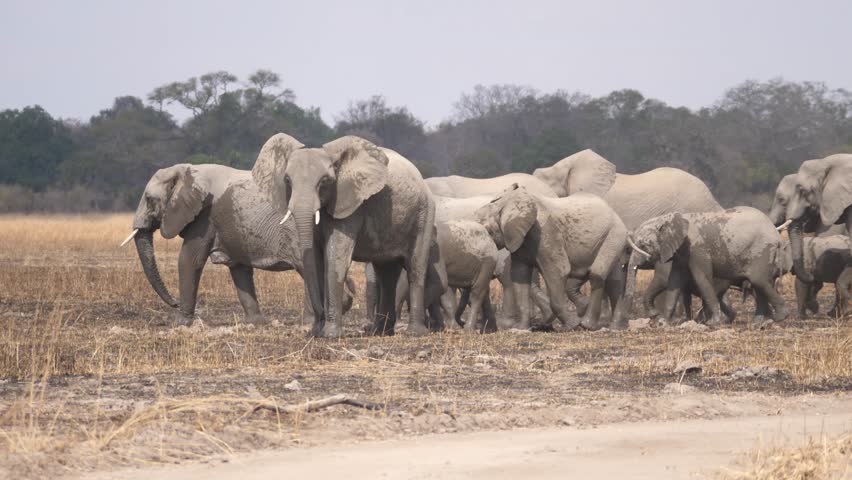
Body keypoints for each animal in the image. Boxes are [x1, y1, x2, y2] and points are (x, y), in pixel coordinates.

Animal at [125, 163, 353, 326]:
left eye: (149, 199)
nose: (174, 302)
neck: (187, 170)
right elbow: (239, 269)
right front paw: (255, 323)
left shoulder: (204, 217)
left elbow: (189, 260)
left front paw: (180, 323)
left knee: (307, 268)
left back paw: (313, 320)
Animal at [252, 134, 435, 338]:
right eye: (287, 180)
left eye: (324, 181)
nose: (317, 323)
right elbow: (316, 259)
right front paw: (317, 333)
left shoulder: (350, 203)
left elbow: (335, 259)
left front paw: (330, 335)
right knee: (386, 273)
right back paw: (380, 332)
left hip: (424, 214)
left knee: (415, 268)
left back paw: (414, 333)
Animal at [475, 184, 629, 330]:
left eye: (487, 230)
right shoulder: (518, 239)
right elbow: (519, 276)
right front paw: (521, 328)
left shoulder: (545, 231)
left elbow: (558, 271)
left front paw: (571, 326)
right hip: (611, 238)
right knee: (614, 281)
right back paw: (616, 328)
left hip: (615, 233)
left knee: (597, 274)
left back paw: (587, 325)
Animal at [627, 207, 789, 327]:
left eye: (642, 245)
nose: (654, 315)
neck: (668, 218)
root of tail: (776, 235)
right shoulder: (681, 251)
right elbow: (675, 281)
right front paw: (663, 323)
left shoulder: (697, 248)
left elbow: (702, 278)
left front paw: (713, 323)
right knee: (759, 283)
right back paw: (758, 323)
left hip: (761, 250)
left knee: (758, 280)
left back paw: (780, 317)